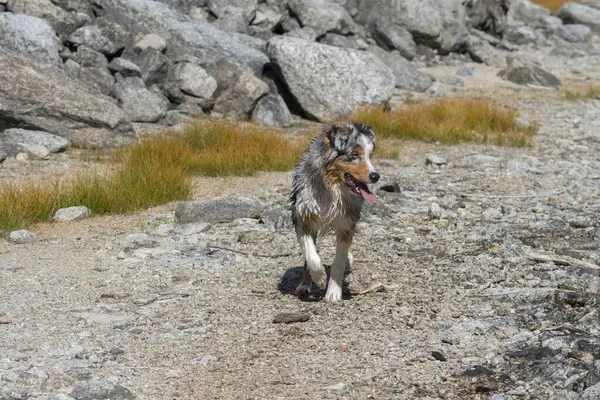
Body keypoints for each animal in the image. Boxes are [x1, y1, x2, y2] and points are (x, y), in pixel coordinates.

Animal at [290, 122, 380, 304]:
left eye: (370, 156)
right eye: (354, 155)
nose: (376, 176)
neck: (332, 188)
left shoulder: (346, 223)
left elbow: (338, 261)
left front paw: (333, 292)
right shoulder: (303, 217)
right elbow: (310, 255)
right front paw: (318, 277)